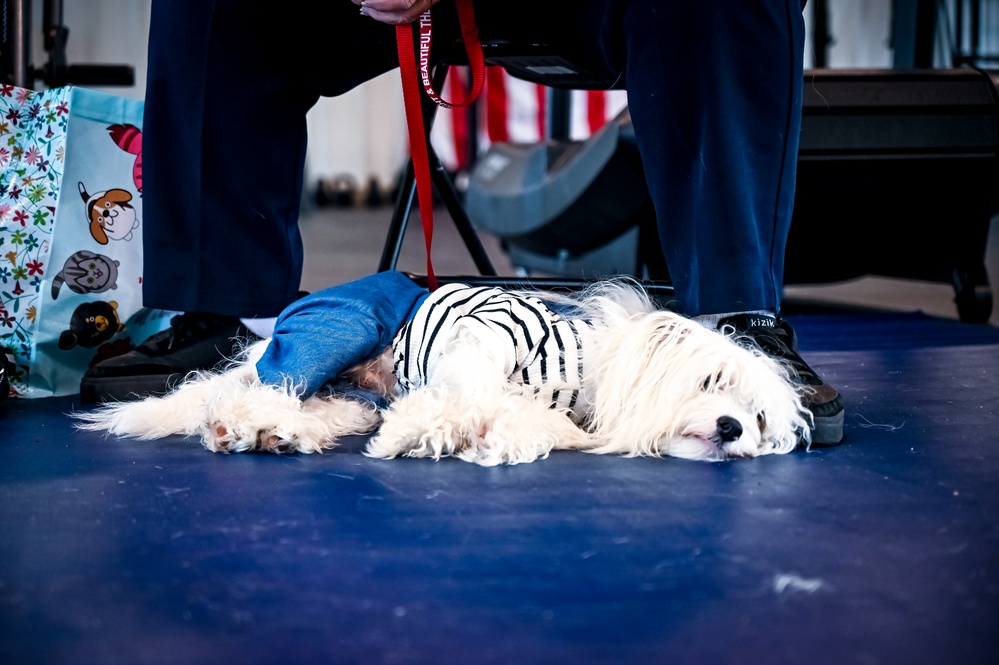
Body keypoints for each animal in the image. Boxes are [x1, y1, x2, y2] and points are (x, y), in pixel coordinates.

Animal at [78, 278, 812, 464]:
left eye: (759, 417)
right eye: (712, 384)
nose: (734, 429)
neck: (591, 374)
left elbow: (532, 422)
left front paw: (490, 436)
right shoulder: (488, 332)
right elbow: (473, 391)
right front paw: (428, 430)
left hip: (345, 390)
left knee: (306, 405)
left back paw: (285, 434)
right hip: (336, 330)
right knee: (248, 392)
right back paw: (239, 427)